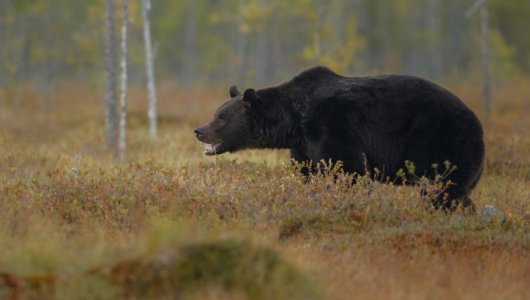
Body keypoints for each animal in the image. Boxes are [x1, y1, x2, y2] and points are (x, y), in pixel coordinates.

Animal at [194, 66, 482, 211]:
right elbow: (309, 172)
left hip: (443, 141)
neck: (294, 120)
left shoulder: (333, 125)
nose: (199, 130)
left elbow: (348, 169)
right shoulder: (303, 146)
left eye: (221, 117)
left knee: (444, 188)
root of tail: (477, 122)